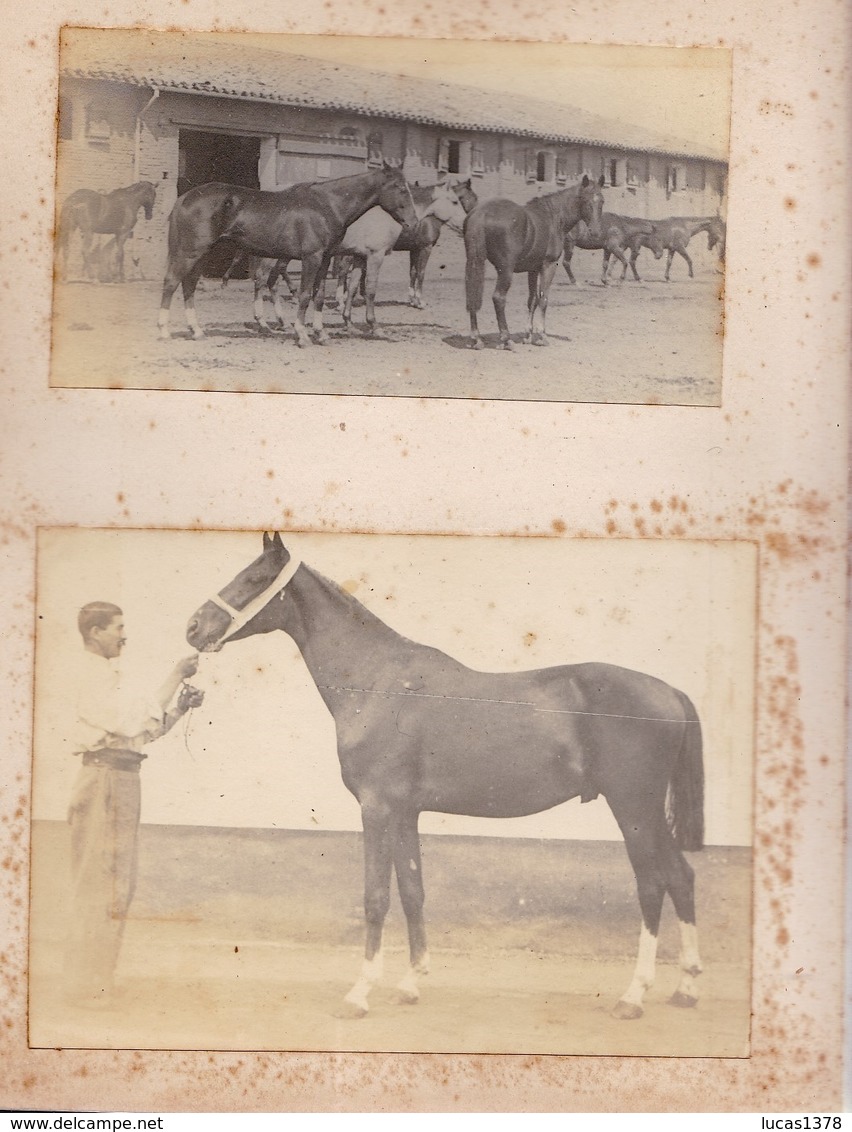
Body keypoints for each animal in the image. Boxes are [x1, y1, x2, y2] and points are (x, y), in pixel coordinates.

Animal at [158, 165, 416, 344]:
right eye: (400, 188)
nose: (412, 221)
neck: (327, 205)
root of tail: (185, 198)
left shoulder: (324, 259)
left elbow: (319, 296)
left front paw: (321, 334)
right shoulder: (311, 258)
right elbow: (304, 295)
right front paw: (302, 334)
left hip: (201, 254)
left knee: (189, 286)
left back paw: (197, 331)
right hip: (190, 252)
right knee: (171, 283)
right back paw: (165, 331)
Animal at [184, 534, 706, 1023]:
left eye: (254, 577)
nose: (193, 627)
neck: (376, 681)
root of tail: (671, 691)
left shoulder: (376, 808)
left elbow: (376, 897)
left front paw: (359, 994)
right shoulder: (405, 812)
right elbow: (413, 891)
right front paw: (411, 983)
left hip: (632, 807)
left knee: (652, 884)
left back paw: (633, 996)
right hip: (648, 812)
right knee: (681, 877)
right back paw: (686, 988)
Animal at [466, 172, 606, 346]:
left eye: (602, 201)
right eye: (585, 200)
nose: (596, 232)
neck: (553, 217)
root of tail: (482, 213)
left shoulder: (532, 269)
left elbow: (532, 300)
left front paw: (528, 335)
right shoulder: (549, 265)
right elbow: (543, 299)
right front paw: (542, 335)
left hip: (474, 261)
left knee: (472, 294)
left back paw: (476, 338)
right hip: (505, 269)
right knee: (498, 298)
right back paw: (506, 339)